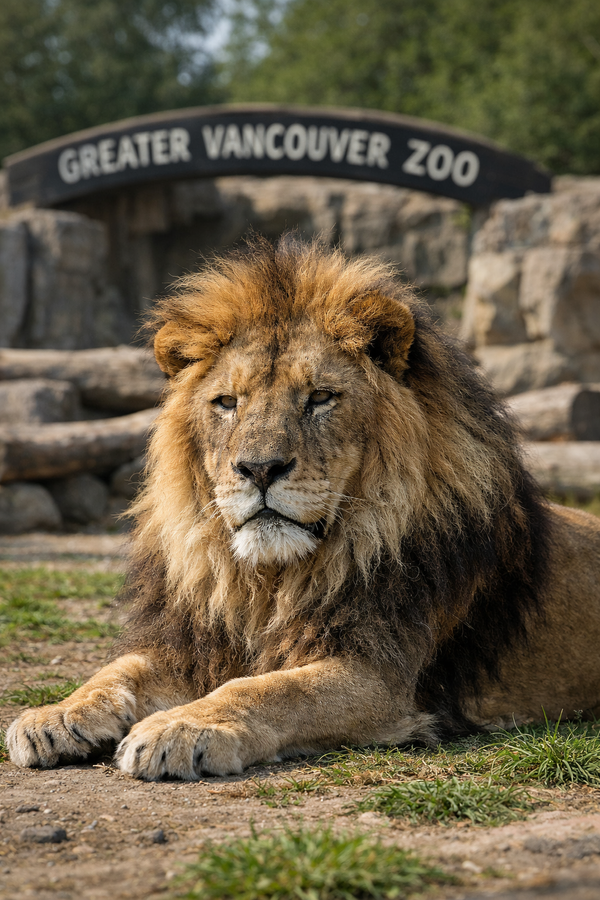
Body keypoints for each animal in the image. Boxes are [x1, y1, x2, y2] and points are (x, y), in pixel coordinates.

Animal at [8, 236, 600, 781]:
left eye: (319, 398)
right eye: (227, 403)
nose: (259, 469)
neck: (268, 580)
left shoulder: (377, 677)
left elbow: (265, 689)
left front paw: (182, 725)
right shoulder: (192, 642)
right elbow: (117, 669)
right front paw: (54, 715)